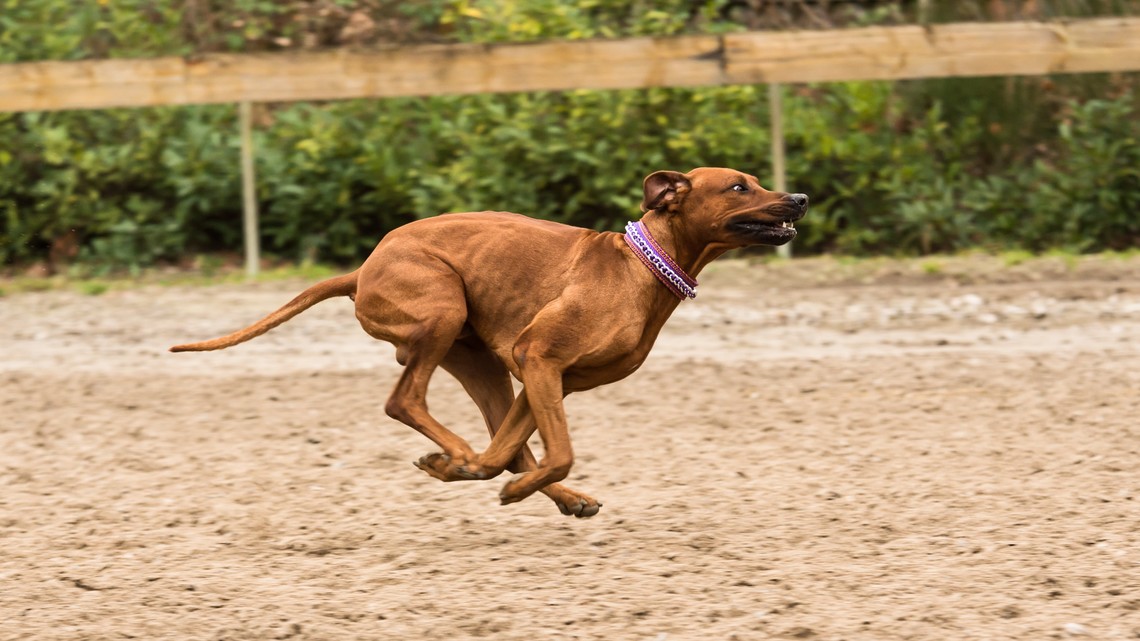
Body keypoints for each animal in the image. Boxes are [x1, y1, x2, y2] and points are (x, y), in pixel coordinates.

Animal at [168, 167, 811, 515]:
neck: (642, 267)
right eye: (738, 187)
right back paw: (459, 456)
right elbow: (558, 451)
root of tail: (362, 269)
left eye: (756, 181)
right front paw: (488, 478)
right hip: (442, 310)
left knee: (500, 446)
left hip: (481, 363)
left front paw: (473, 473)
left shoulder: (547, 379)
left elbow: (515, 451)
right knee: (404, 400)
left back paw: (500, 477)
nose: (799, 198)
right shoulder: (540, 359)